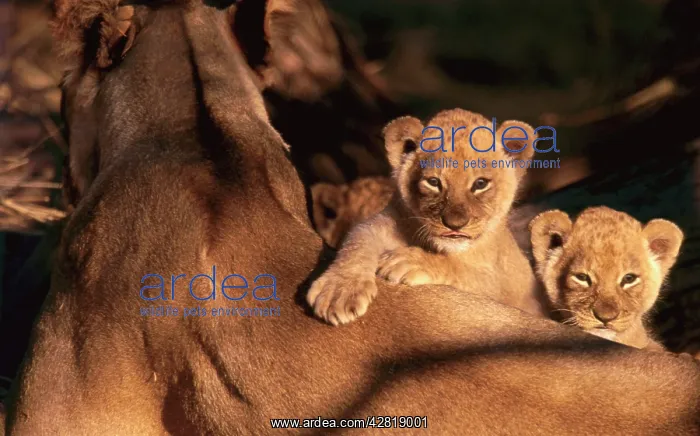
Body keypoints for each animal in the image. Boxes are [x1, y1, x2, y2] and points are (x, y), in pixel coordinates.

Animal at [307, 109, 546, 325]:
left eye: (480, 184)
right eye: (433, 182)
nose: (455, 224)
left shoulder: (516, 291)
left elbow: (471, 274)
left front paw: (411, 262)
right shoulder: (384, 221)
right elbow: (358, 240)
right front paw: (339, 291)